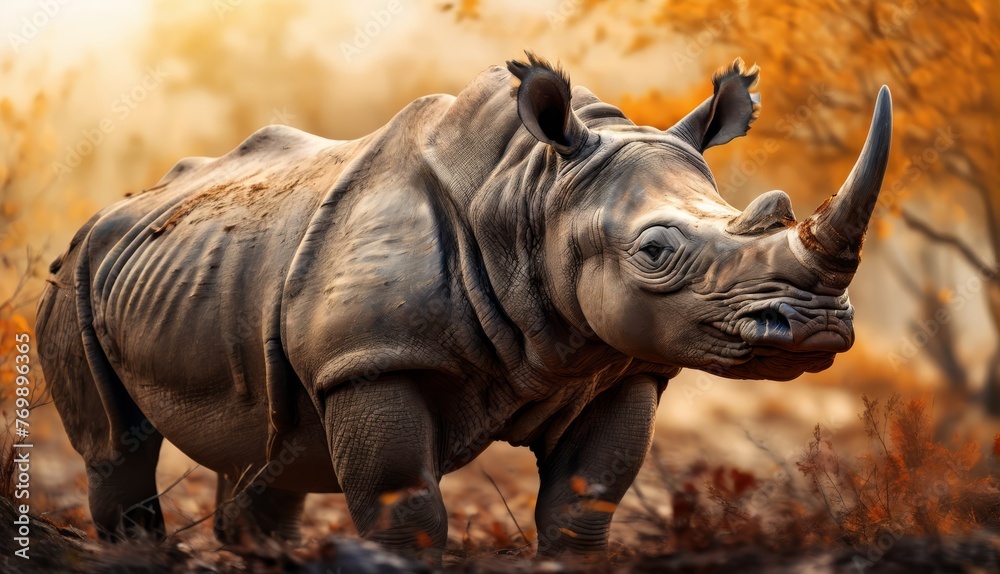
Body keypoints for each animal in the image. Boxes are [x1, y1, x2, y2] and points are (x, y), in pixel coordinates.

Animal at [35, 53, 891, 560]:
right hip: (75, 271)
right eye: (654, 252)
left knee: (264, 454)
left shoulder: (618, 365)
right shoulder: (370, 361)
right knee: (116, 445)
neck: (533, 192)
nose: (813, 324)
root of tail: (114, 209)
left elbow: (582, 507)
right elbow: (406, 513)